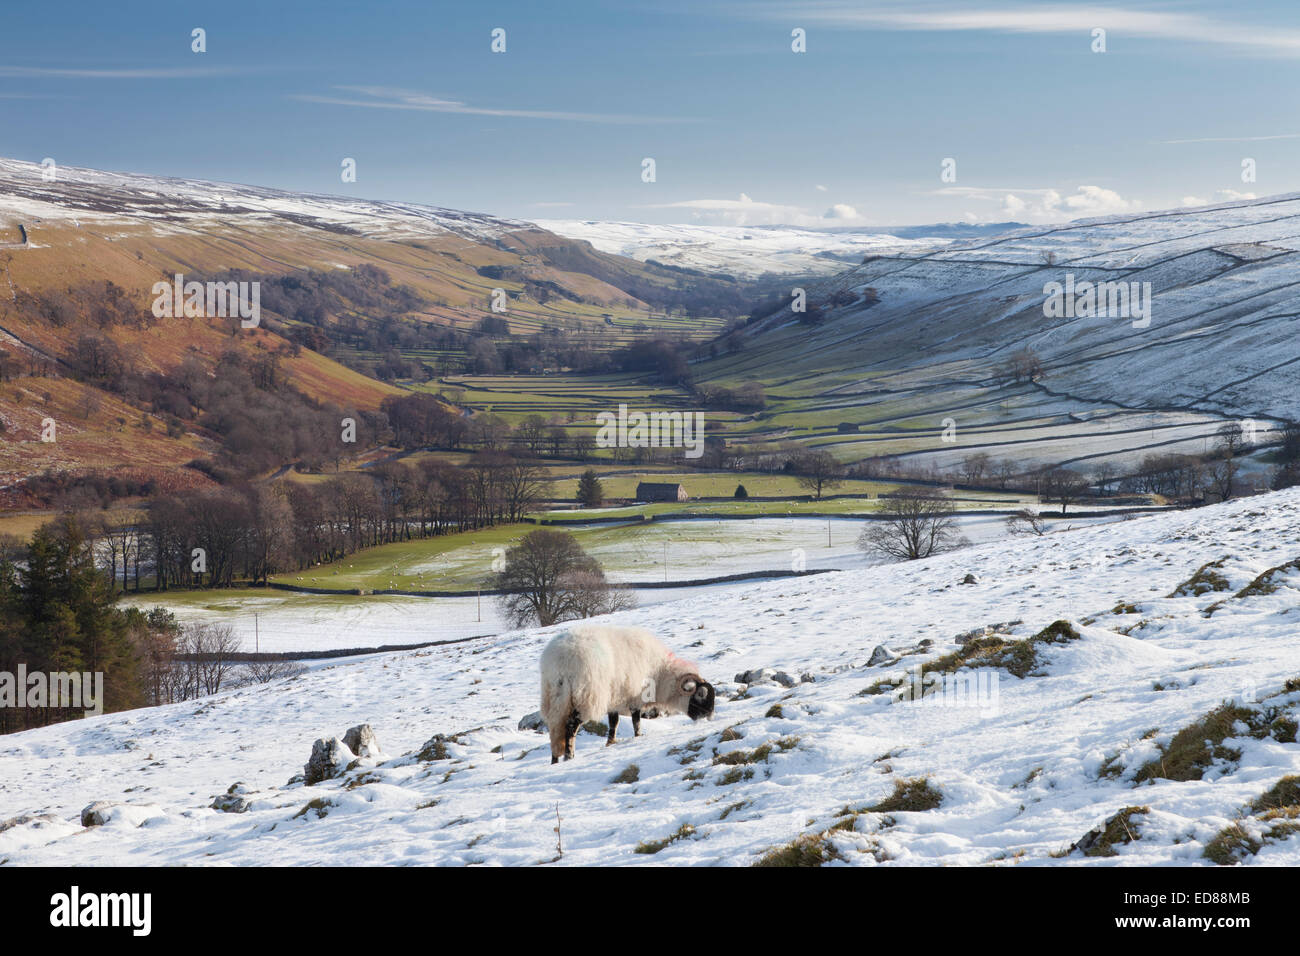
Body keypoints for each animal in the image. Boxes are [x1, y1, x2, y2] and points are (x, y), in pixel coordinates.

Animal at [540, 624, 722, 764]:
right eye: (701, 695)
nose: (710, 717)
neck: (661, 673)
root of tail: (561, 661)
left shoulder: (615, 698)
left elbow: (614, 723)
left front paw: (611, 743)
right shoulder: (636, 695)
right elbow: (636, 720)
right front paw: (638, 736)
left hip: (554, 697)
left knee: (555, 730)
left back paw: (555, 760)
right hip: (585, 696)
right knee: (571, 726)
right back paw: (569, 756)